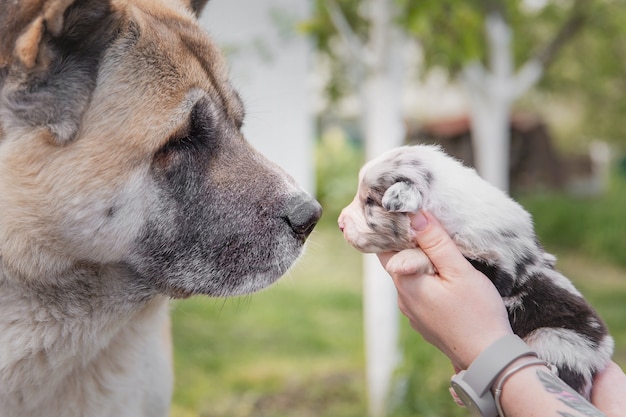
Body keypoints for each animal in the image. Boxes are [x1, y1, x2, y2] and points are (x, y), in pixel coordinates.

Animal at [338, 145, 612, 398]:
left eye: (370, 202)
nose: (340, 223)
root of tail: (605, 351)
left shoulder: (498, 272)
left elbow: (454, 255)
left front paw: (404, 259)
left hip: (556, 338)